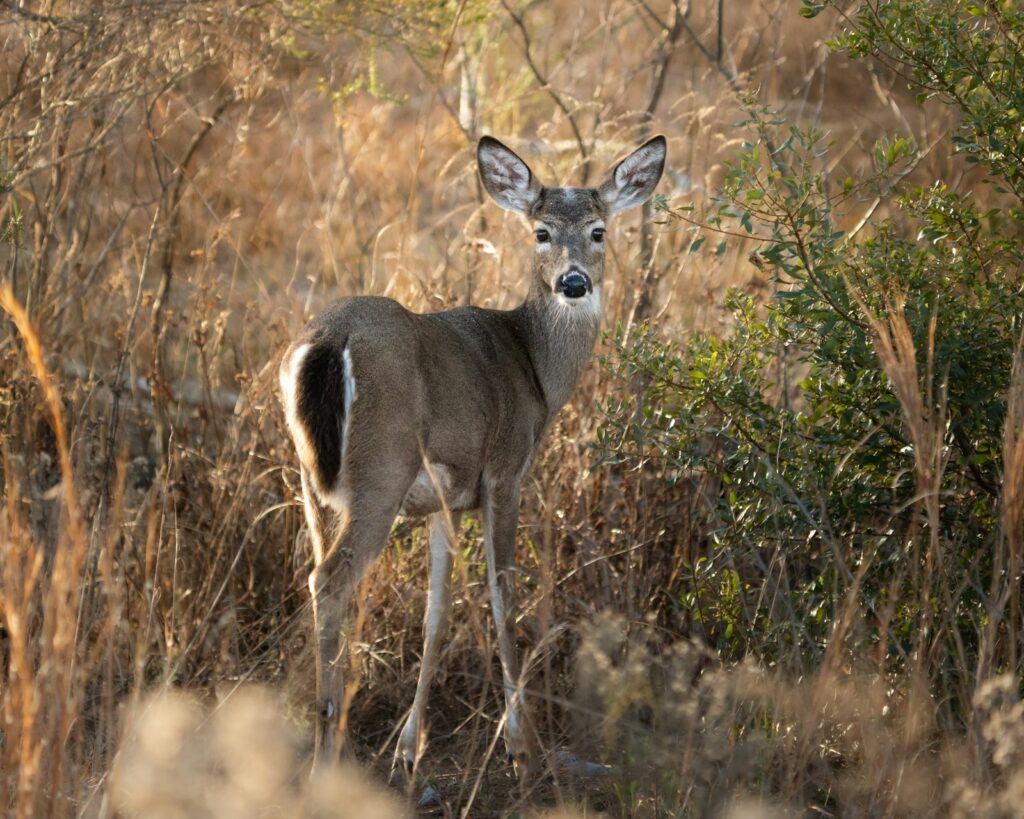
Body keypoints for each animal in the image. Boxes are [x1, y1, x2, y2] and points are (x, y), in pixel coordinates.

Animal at [278, 134, 666, 779]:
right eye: (540, 231)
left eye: (598, 229)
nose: (574, 283)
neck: (534, 369)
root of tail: (327, 341)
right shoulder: (505, 474)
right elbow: (503, 596)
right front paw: (522, 745)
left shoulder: (444, 500)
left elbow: (436, 615)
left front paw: (410, 746)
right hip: (380, 471)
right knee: (328, 580)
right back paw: (325, 750)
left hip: (310, 479)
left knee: (321, 577)